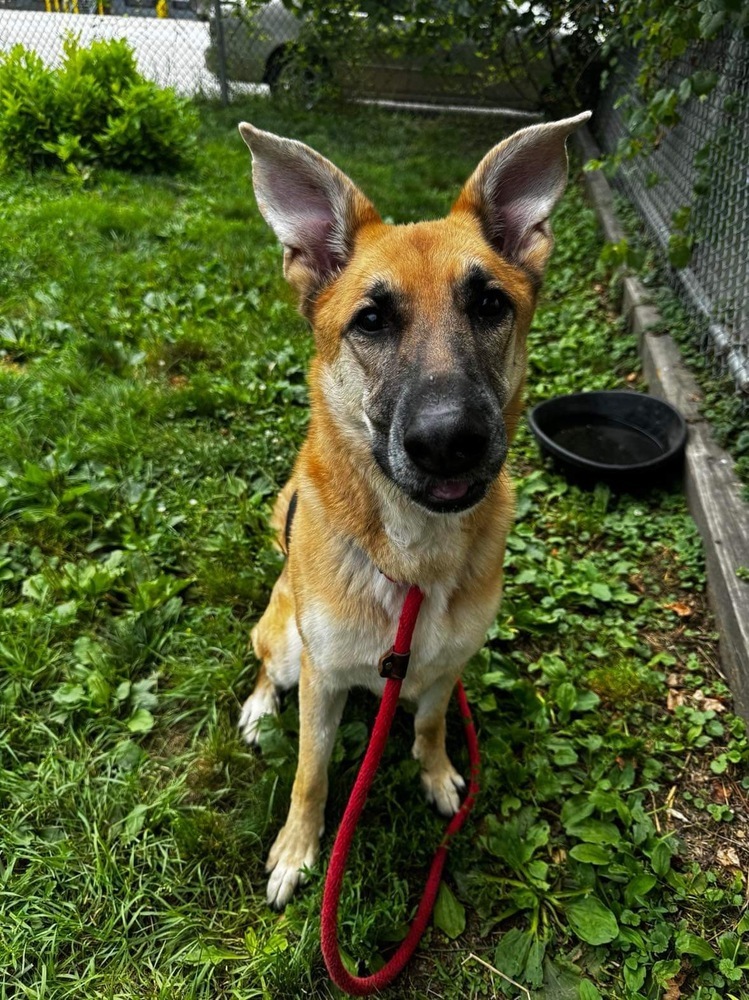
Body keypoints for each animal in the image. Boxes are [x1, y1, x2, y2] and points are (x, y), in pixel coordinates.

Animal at [237, 113, 588, 912]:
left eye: (489, 305)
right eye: (371, 320)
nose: (447, 441)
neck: (411, 561)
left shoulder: (446, 667)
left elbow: (429, 726)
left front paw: (435, 775)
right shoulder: (324, 681)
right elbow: (310, 775)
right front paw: (297, 851)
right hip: (285, 639)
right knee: (268, 667)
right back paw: (259, 709)